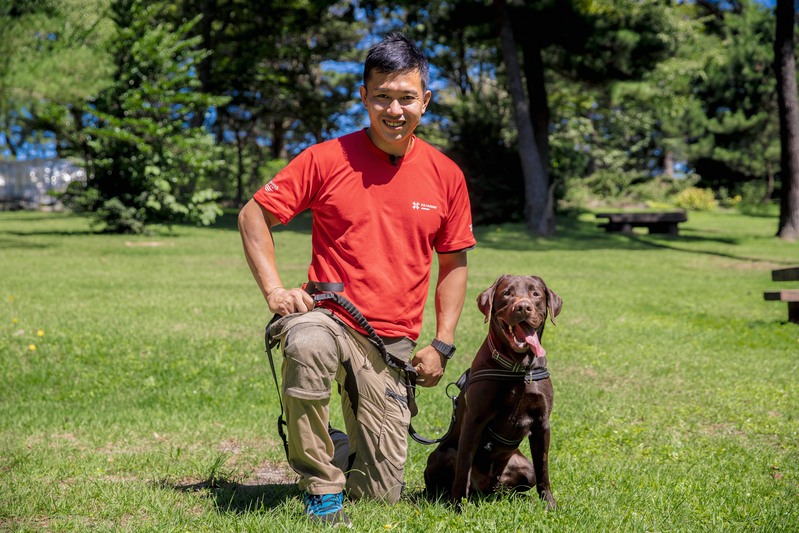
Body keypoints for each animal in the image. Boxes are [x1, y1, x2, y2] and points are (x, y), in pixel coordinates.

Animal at [424, 274, 564, 508]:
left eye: (535, 294)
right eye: (507, 293)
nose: (523, 307)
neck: (518, 368)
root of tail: (486, 487)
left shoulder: (542, 422)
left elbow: (543, 469)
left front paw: (549, 505)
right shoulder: (475, 418)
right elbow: (463, 467)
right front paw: (458, 507)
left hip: (523, 467)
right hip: (444, 455)